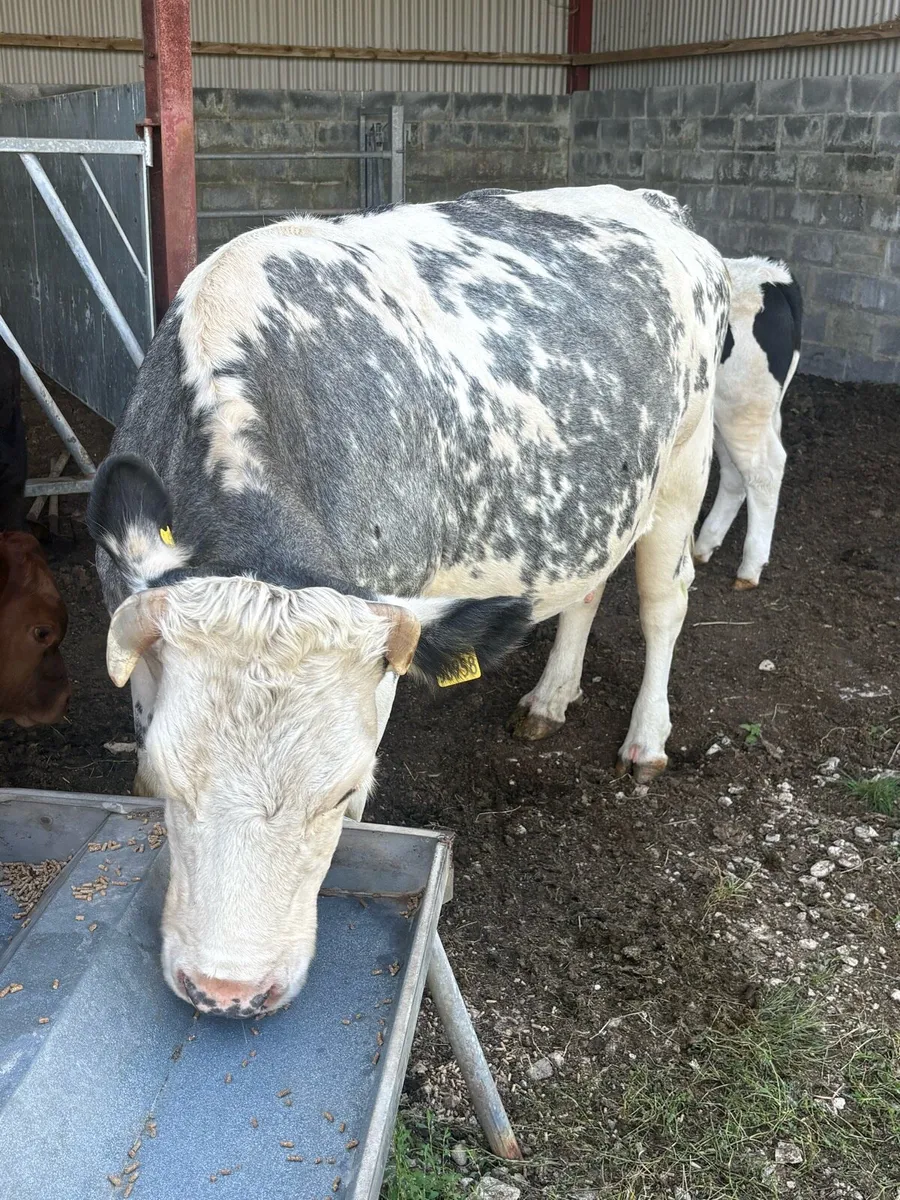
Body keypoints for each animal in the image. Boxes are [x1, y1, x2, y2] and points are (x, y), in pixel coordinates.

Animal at [87, 185, 730, 1017]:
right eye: (166, 779)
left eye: (345, 789)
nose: (229, 991)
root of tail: (650, 200)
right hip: (598, 502)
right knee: (587, 588)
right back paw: (550, 697)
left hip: (686, 460)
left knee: (664, 600)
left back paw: (646, 738)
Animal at [694, 256, 802, 589]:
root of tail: (772, 274)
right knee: (734, 473)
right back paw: (704, 545)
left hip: (740, 407)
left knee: (764, 471)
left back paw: (749, 568)